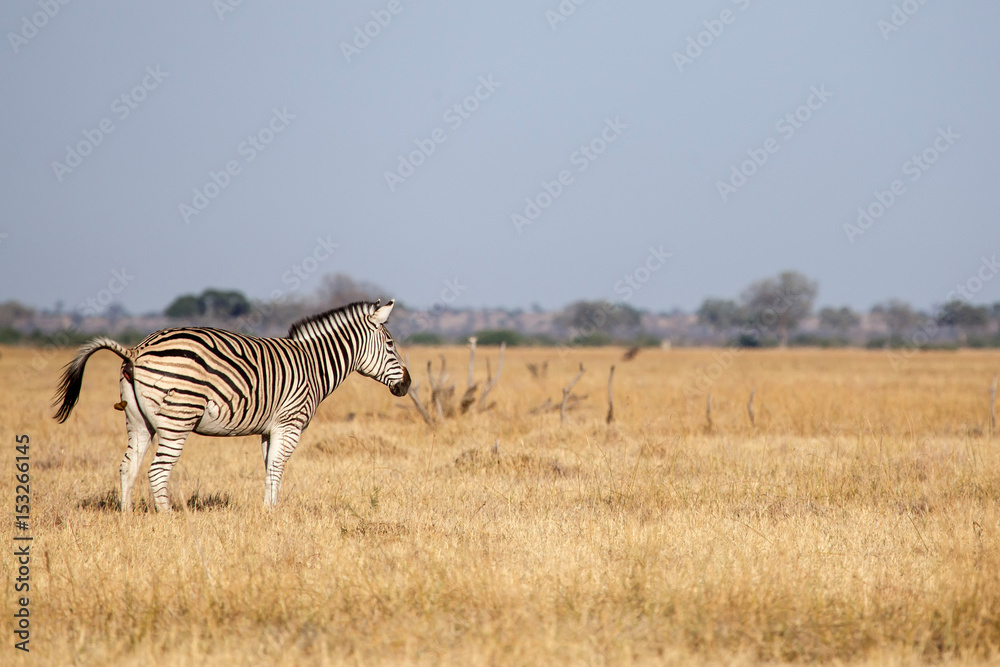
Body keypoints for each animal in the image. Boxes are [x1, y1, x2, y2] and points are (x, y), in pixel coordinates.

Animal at [53, 299, 410, 511]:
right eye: (391, 343)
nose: (406, 384)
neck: (313, 364)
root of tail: (135, 350)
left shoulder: (269, 430)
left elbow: (270, 468)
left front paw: (270, 510)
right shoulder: (290, 424)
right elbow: (278, 467)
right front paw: (273, 513)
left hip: (138, 421)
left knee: (128, 467)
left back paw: (127, 517)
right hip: (178, 418)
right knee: (157, 470)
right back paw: (168, 518)